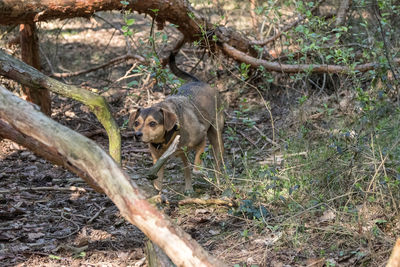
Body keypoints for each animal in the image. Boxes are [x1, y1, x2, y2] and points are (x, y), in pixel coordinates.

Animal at [131, 52, 225, 195]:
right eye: (136, 123)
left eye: (152, 123)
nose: (137, 135)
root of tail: (199, 82)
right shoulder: (158, 161)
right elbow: (158, 183)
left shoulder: (201, 137)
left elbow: (197, 163)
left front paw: (200, 170)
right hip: (183, 152)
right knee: (186, 168)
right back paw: (189, 188)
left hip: (215, 134)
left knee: (218, 161)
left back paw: (217, 183)